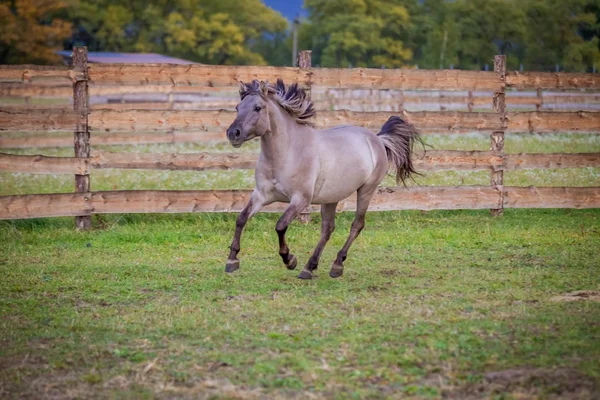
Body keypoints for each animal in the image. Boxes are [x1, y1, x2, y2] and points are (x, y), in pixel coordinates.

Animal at [224, 78, 422, 278]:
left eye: (257, 108)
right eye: (237, 107)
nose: (233, 133)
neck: (286, 152)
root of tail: (378, 139)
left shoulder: (301, 199)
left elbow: (280, 226)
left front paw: (290, 260)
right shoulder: (261, 195)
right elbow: (241, 219)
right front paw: (232, 260)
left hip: (367, 189)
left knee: (356, 225)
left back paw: (336, 265)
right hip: (331, 197)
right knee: (328, 229)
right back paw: (309, 267)